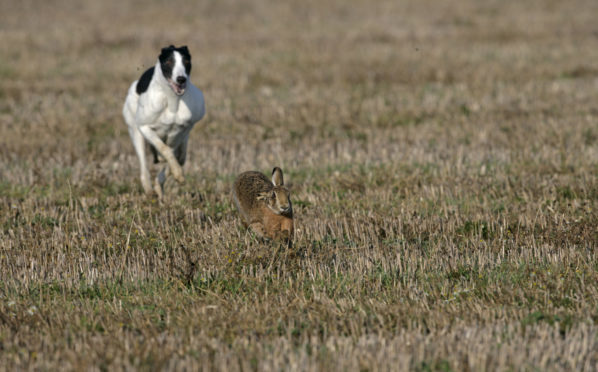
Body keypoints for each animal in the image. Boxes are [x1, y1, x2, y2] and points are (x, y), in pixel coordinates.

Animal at [122, 45, 206, 198]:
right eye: (169, 62)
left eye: (186, 61)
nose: (181, 79)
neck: (172, 101)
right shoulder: (144, 128)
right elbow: (165, 149)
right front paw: (177, 173)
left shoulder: (183, 130)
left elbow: (172, 153)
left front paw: (177, 174)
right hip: (135, 132)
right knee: (144, 166)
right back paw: (149, 189)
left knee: (179, 157)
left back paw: (159, 184)